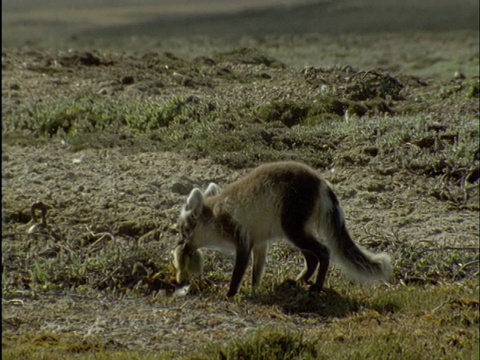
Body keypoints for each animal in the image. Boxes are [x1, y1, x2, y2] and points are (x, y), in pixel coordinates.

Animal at [174, 162, 392, 296]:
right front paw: (254, 291)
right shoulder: (259, 243)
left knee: (323, 252)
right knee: (312, 259)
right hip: (297, 231)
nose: (180, 246)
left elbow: (238, 274)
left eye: (184, 230)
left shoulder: (243, 241)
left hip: (293, 230)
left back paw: (316, 287)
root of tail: (322, 182)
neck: (217, 216)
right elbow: (257, 272)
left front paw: (230, 295)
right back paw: (299, 281)